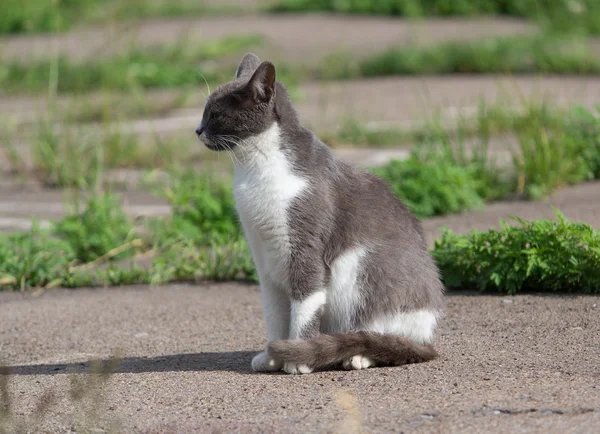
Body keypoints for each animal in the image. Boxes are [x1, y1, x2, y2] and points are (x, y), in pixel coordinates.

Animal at [195, 53, 442, 372]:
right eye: (204, 112)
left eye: (215, 115)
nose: (197, 129)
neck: (254, 170)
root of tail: (429, 336)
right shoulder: (263, 258)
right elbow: (274, 313)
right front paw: (272, 355)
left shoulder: (305, 245)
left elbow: (305, 305)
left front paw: (298, 357)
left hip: (361, 272)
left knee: (384, 337)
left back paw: (358, 355)